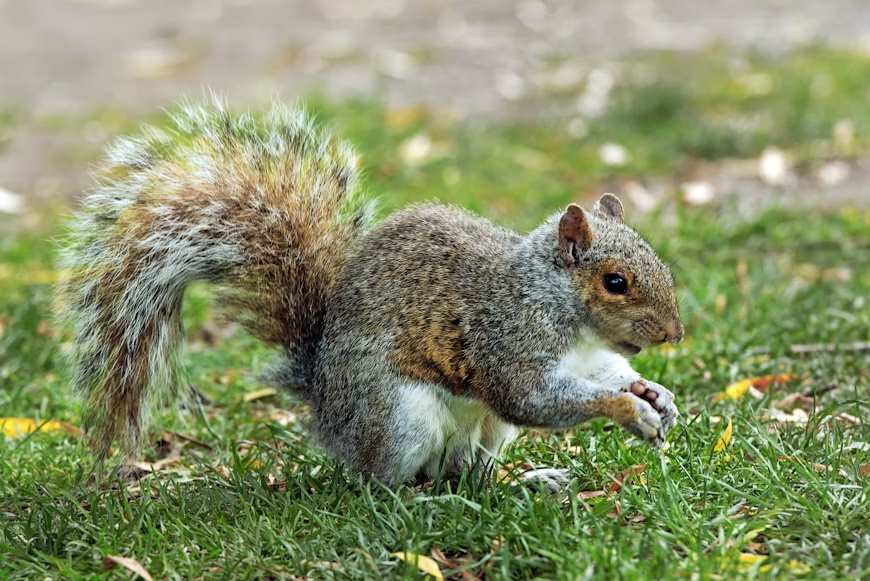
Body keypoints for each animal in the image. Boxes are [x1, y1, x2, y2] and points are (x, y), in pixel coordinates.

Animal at [56, 98, 684, 489]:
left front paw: (655, 393)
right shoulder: (507, 340)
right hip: (397, 417)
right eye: (615, 283)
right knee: (387, 486)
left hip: (483, 432)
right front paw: (628, 409)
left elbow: (607, 373)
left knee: (462, 474)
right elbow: (534, 399)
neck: (560, 307)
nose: (675, 334)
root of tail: (327, 409)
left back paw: (524, 482)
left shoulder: (587, 357)